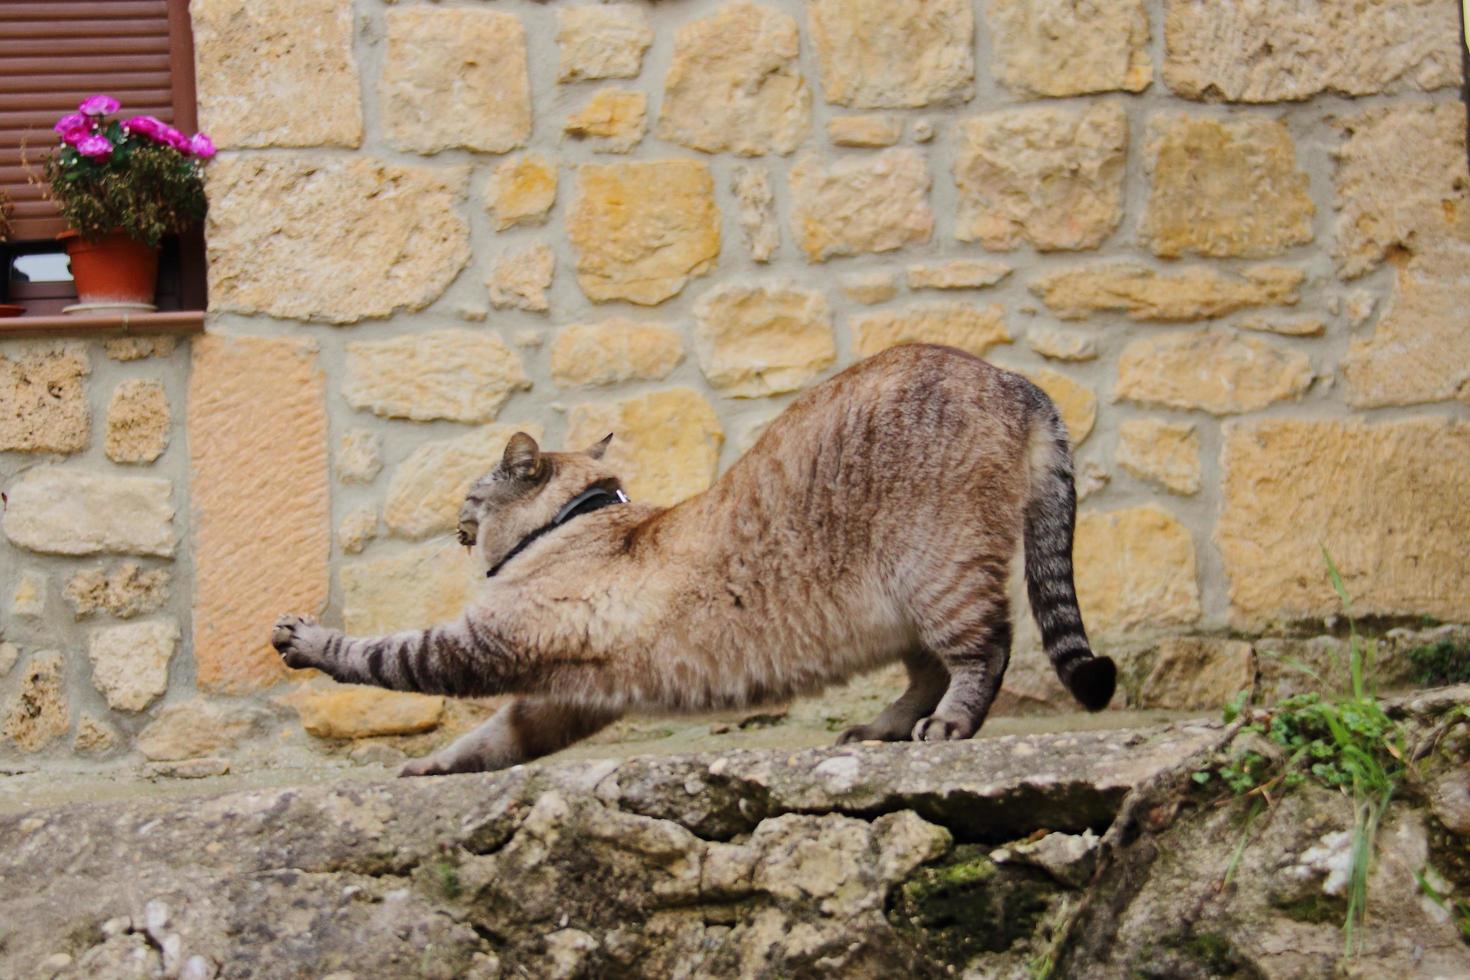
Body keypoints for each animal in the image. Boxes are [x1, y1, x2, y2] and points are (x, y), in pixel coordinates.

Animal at [270, 345, 1111, 775]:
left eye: (473, 495)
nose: (458, 518)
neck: (577, 523)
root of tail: (1014, 378)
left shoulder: (479, 645)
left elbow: (383, 656)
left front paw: (305, 640)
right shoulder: (567, 696)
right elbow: (494, 740)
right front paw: (435, 768)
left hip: (936, 576)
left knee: (982, 653)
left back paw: (947, 727)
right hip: (898, 607)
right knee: (926, 672)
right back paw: (879, 731)